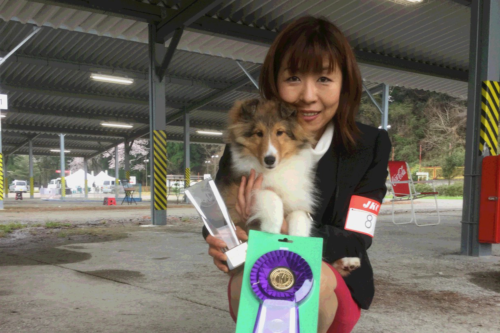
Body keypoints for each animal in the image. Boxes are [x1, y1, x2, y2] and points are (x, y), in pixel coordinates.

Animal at [216, 97, 318, 237]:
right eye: (259, 133)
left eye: (280, 132)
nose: (269, 160)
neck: (276, 170)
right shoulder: (238, 193)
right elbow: (270, 194)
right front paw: (271, 228)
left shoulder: (297, 201)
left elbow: (300, 215)